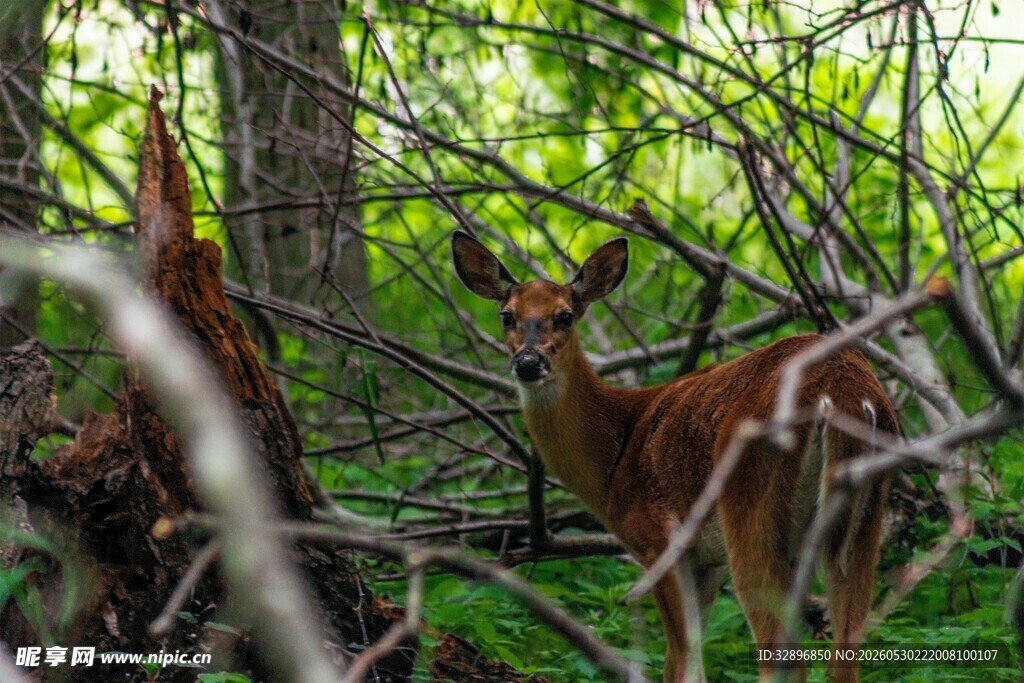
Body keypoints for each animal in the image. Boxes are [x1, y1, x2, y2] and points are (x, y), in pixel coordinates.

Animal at [451, 230, 897, 682]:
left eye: (565, 315)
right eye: (507, 315)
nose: (528, 361)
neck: (614, 457)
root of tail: (841, 390)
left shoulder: (658, 540)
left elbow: (682, 660)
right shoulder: (707, 562)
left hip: (751, 506)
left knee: (781, 655)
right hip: (863, 521)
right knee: (847, 647)